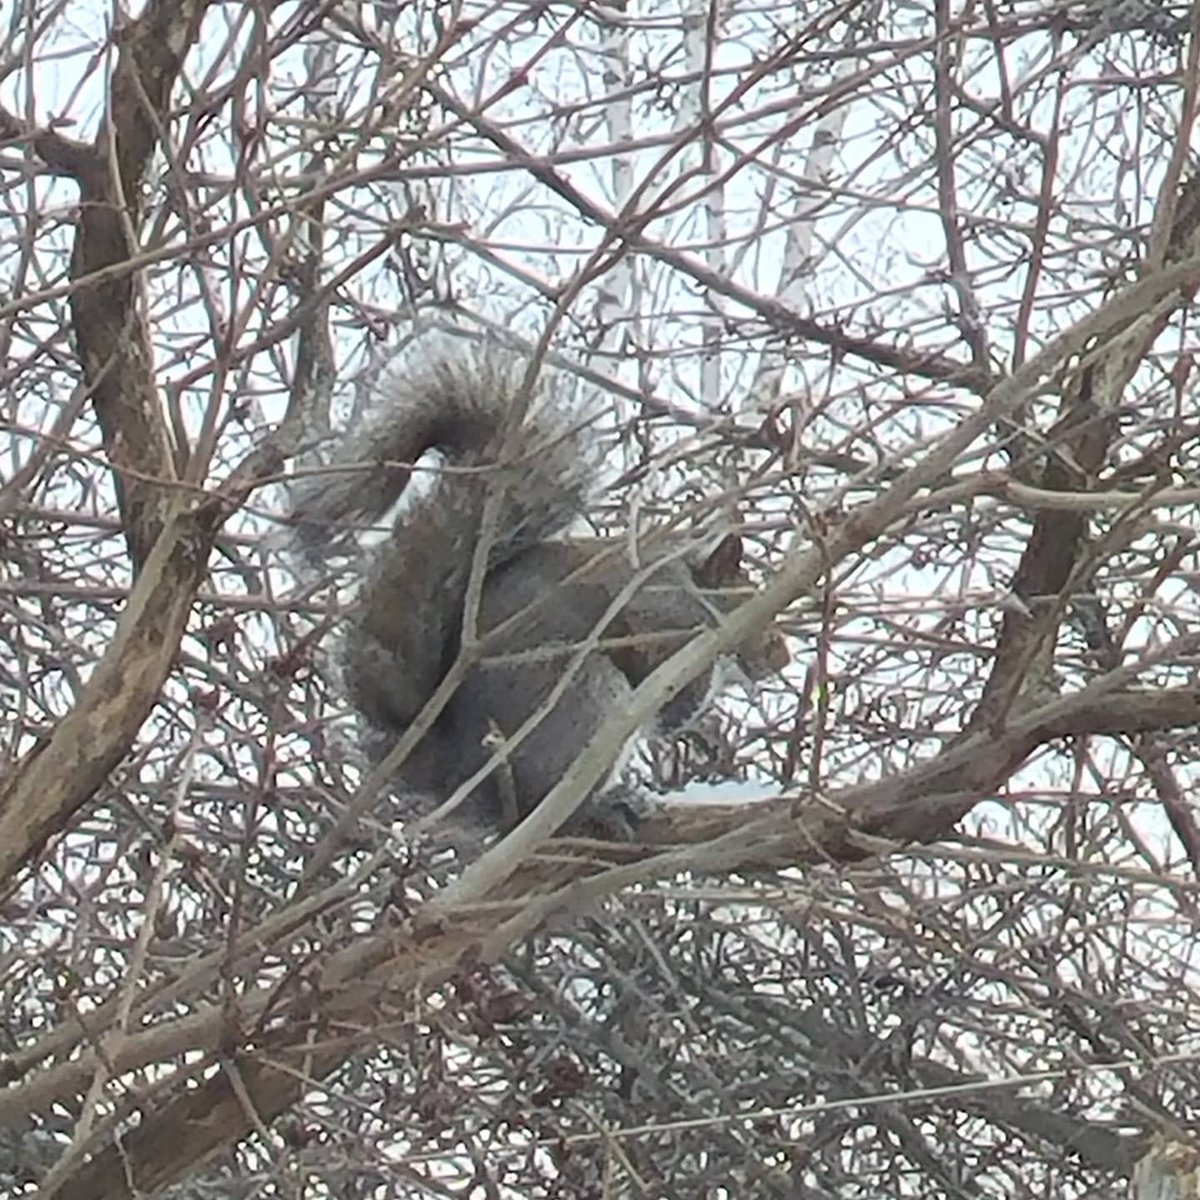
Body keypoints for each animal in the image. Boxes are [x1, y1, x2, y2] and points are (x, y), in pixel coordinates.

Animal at [290, 338, 788, 839]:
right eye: (754, 603)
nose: (781, 658)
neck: (689, 582)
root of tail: (461, 772)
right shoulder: (658, 609)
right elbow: (660, 657)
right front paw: (685, 712)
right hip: (580, 700)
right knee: (551, 799)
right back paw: (604, 806)